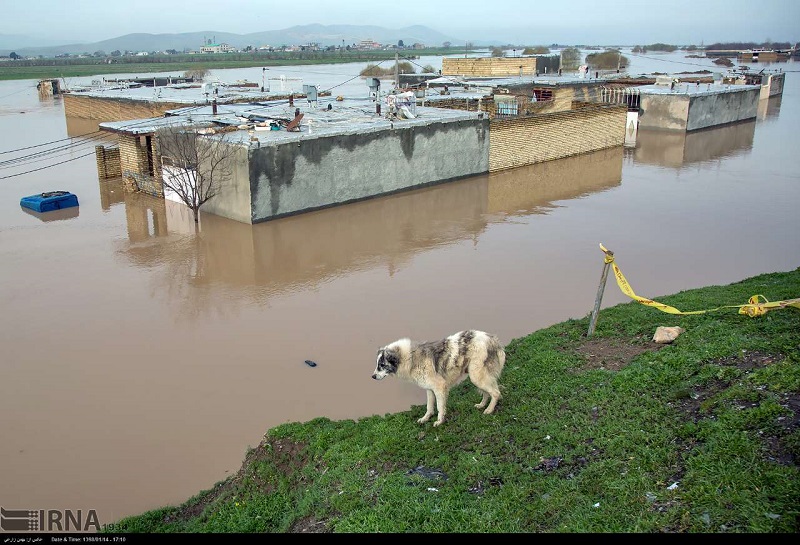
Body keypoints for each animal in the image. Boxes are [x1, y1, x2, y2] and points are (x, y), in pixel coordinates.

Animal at [370, 330, 506, 428]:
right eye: (377, 364)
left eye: (382, 365)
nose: (373, 376)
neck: (410, 358)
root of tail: (491, 338)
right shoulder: (429, 389)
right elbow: (429, 407)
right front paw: (425, 418)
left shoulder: (439, 387)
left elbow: (440, 407)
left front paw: (440, 422)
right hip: (477, 376)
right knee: (488, 392)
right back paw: (482, 405)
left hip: (476, 376)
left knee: (496, 392)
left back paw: (489, 410)